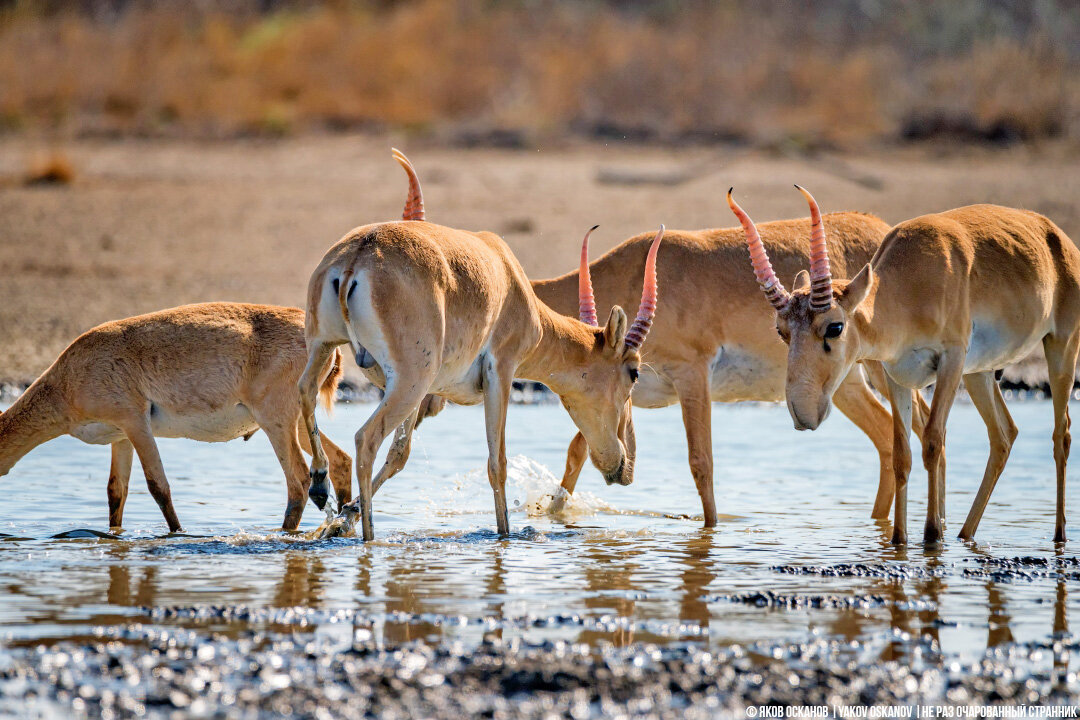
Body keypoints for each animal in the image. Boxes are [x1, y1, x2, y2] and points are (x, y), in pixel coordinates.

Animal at [0, 302, 349, 533]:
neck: (67, 379)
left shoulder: (136, 423)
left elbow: (158, 486)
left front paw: (178, 535)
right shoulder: (121, 437)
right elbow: (116, 492)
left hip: (275, 422)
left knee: (299, 480)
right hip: (295, 421)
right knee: (339, 460)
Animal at [300, 148, 660, 539]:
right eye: (634, 372)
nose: (624, 466)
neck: (508, 275)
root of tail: (357, 258)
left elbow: (400, 455)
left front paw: (341, 519)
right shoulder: (499, 373)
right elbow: (496, 462)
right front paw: (505, 534)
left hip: (325, 347)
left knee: (305, 390)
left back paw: (319, 486)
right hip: (410, 381)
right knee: (365, 440)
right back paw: (369, 538)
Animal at [373, 151, 928, 524]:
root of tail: (881, 227)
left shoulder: (690, 376)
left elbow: (701, 463)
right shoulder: (619, 392)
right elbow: (582, 451)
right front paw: (553, 510)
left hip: (871, 373)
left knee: (903, 433)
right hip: (848, 383)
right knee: (889, 435)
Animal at [730, 188, 1080, 544]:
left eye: (835, 327)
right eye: (781, 330)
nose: (804, 414)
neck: (909, 284)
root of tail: (1058, 236)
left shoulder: (951, 361)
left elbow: (932, 440)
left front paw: (931, 536)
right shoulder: (896, 375)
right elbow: (901, 453)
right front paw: (898, 539)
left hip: (1061, 346)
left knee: (1061, 434)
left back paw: (1059, 535)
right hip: (980, 373)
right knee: (1004, 434)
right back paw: (964, 534)